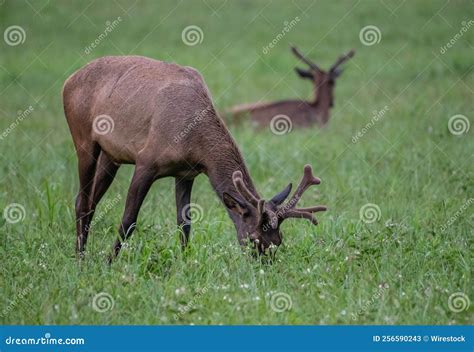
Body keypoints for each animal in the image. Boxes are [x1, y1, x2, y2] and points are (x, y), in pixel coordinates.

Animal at [62, 55, 326, 262]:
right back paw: (80, 258)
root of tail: (69, 80)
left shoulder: (185, 173)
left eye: (278, 240)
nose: (264, 266)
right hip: (83, 138)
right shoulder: (146, 161)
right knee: (82, 200)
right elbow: (129, 219)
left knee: (91, 201)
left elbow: (184, 224)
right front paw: (109, 261)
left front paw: (185, 261)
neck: (194, 143)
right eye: (253, 238)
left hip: (111, 155)